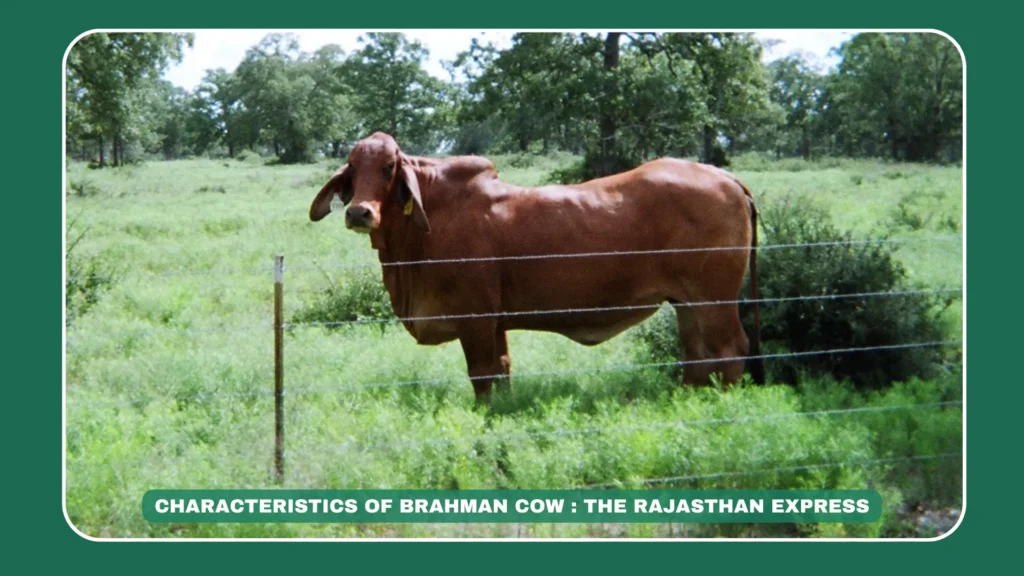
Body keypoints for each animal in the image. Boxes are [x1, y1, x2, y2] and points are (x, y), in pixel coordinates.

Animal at [308, 132, 764, 404]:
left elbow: (482, 377)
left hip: (715, 300)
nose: (360, 213)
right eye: (353, 169)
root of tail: (724, 177)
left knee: (730, 351)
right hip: (686, 304)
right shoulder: (496, 325)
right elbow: (502, 374)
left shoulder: (476, 321)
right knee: (696, 357)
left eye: (389, 168)